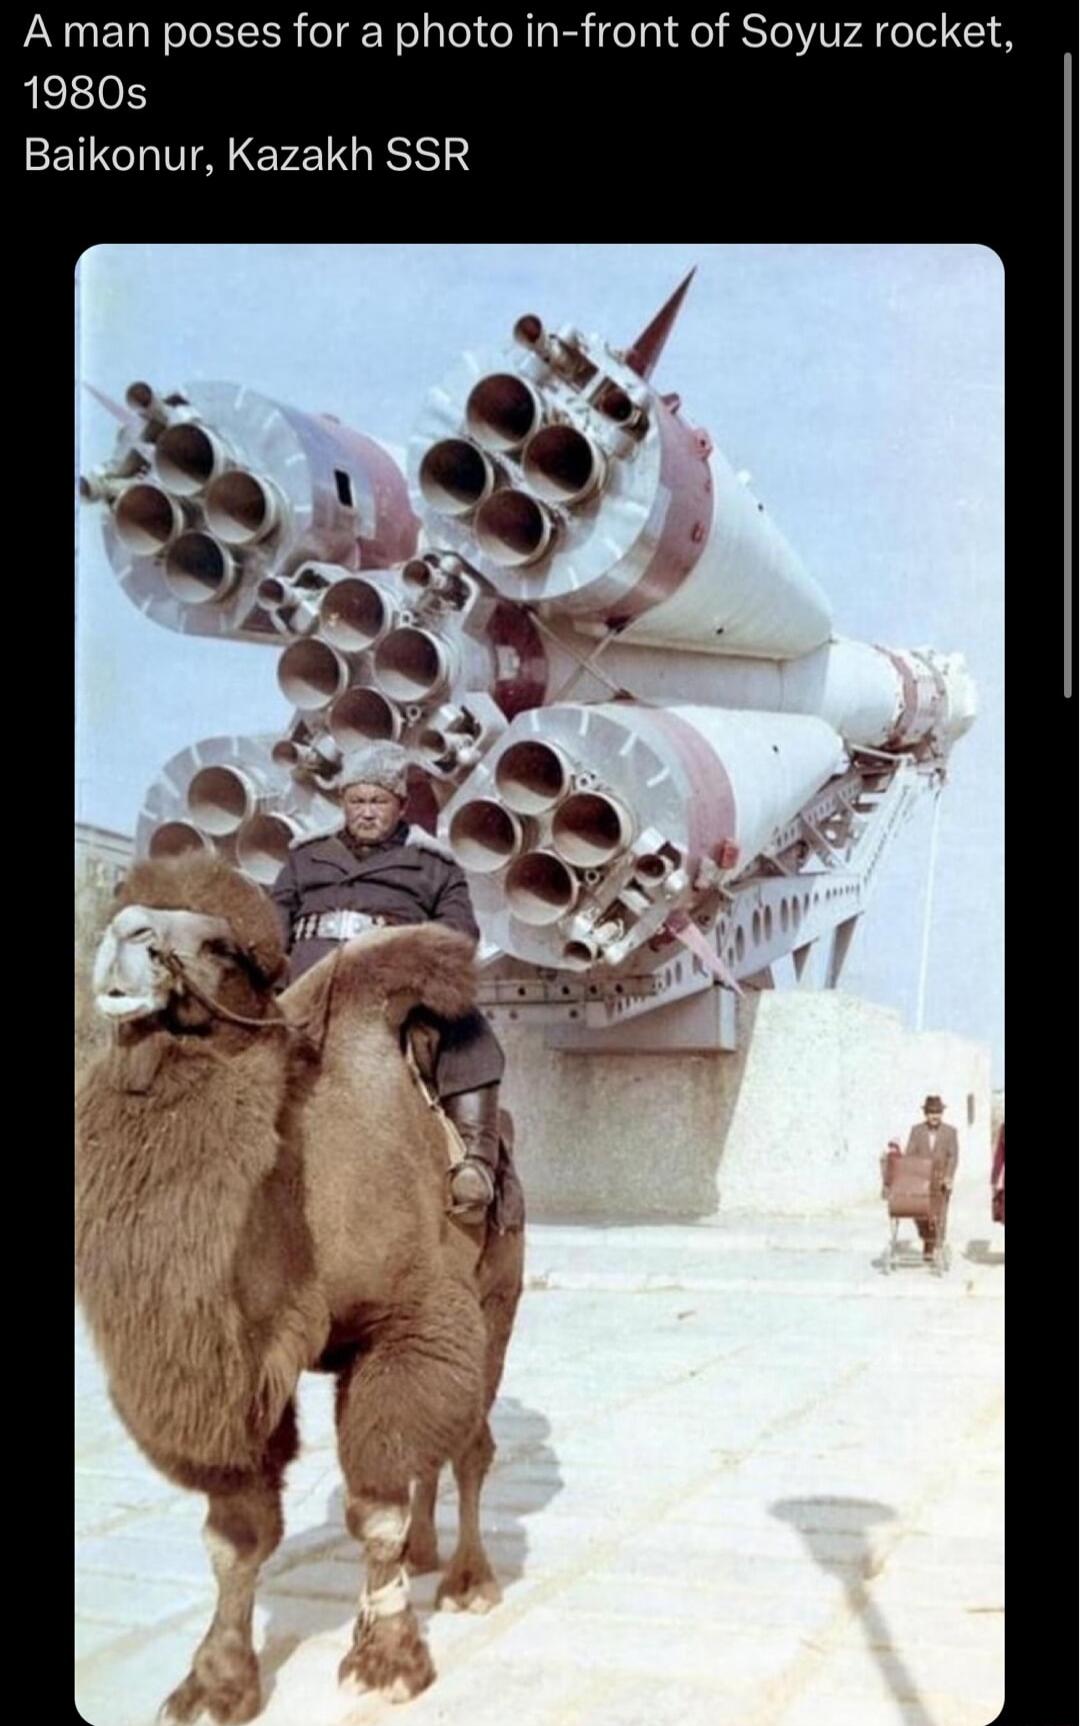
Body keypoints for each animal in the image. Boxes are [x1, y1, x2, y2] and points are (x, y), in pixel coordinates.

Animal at [75, 856, 521, 1719]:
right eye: (128, 907)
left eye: (218, 945)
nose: (124, 936)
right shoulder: (233, 1366)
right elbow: (236, 1531)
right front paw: (215, 1683)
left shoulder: (409, 1320)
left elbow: (374, 1503)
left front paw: (387, 1659)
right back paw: (426, 1555)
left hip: (496, 1301)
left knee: (472, 1447)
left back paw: (468, 1580)